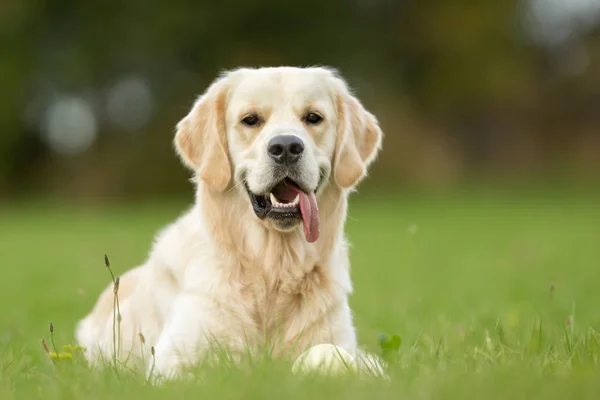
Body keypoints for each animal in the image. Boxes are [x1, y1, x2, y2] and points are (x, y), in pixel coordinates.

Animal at [75, 65, 382, 378]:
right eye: (251, 119)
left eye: (313, 117)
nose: (286, 147)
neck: (272, 269)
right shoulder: (172, 361)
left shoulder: (345, 345)